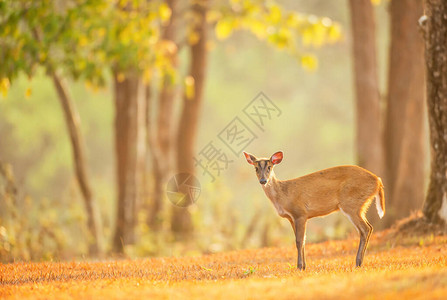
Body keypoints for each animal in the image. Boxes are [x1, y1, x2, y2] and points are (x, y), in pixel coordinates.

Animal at [243, 151, 386, 270]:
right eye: (256, 168)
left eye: (269, 167)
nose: (263, 180)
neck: (283, 195)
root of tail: (378, 180)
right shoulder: (291, 218)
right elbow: (303, 240)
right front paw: (304, 266)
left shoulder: (300, 213)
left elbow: (299, 241)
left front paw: (300, 267)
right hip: (359, 205)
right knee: (368, 228)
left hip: (351, 203)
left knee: (365, 228)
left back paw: (358, 262)